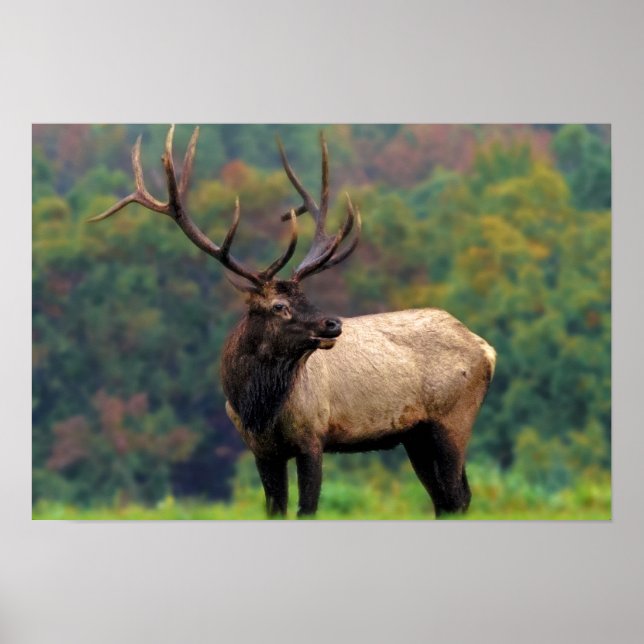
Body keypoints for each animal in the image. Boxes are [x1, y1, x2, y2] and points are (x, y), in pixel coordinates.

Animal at [89, 125, 496, 519]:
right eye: (279, 305)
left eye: (306, 297)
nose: (333, 324)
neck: (257, 407)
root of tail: (486, 348)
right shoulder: (261, 451)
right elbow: (275, 509)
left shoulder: (312, 436)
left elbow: (307, 510)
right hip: (415, 435)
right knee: (444, 500)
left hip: (452, 419)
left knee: (458, 497)